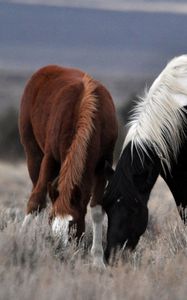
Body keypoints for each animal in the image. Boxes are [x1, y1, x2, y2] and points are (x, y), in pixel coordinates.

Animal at [19, 65, 117, 268]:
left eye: (73, 224)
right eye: (51, 220)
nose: (59, 252)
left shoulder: (103, 164)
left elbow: (97, 210)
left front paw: (97, 259)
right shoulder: (50, 157)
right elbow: (36, 200)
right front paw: (22, 238)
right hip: (33, 154)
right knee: (36, 191)